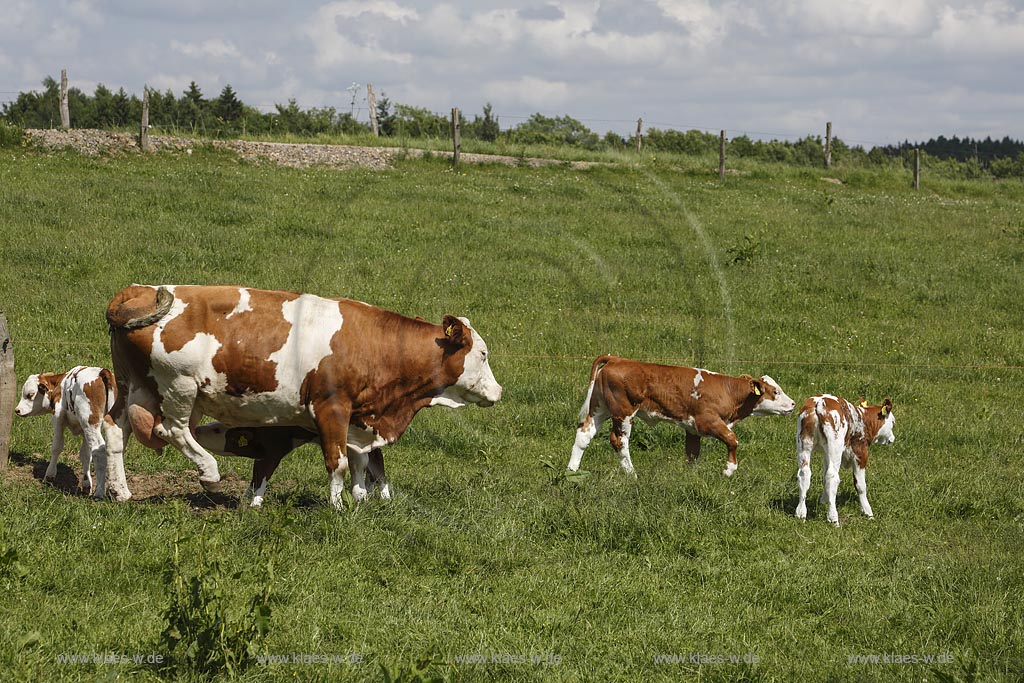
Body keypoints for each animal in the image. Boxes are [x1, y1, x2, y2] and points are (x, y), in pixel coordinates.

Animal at [14, 366, 132, 499]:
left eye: (30, 395)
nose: (17, 410)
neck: (60, 384)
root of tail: (102, 372)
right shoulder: (85, 429)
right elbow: (85, 455)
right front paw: (86, 484)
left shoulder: (58, 418)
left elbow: (57, 447)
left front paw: (49, 475)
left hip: (90, 422)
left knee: (99, 450)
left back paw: (99, 493)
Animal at [105, 284, 501, 507]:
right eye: (482, 354)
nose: (498, 390)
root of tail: (137, 290)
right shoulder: (331, 408)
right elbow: (338, 463)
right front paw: (339, 509)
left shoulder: (360, 419)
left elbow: (362, 464)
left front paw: (360, 501)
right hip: (179, 385)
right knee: (171, 429)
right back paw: (209, 469)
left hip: (132, 386)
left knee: (115, 432)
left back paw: (118, 491)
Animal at [569, 356, 790, 479]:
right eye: (775, 392)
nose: (793, 404)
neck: (728, 391)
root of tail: (617, 359)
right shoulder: (707, 421)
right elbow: (732, 439)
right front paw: (728, 470)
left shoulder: (693, 429)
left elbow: (692, 453)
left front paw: (689, 476)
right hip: (623, 412)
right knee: (619, 441)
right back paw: (632, 475)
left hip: (599, 408)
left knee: (583, 435)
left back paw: (571, 472)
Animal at [790, 393, 897, 528]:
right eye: (893, 422)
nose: (892, 438)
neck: (863, 420)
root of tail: (819, 402)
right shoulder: (860, 454)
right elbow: (860, 485)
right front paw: (868, 512)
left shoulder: (826, 454)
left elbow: (824, 478)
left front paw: (823, 501)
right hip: (835, 445)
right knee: (832, 476)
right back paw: (833, 518)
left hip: (804, 443)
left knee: (804, 474)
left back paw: (801, 513)